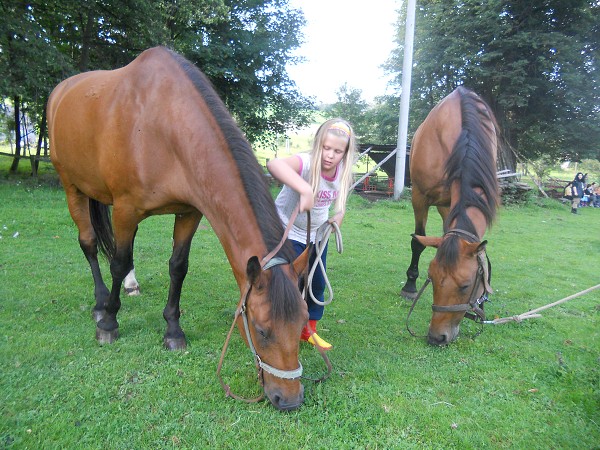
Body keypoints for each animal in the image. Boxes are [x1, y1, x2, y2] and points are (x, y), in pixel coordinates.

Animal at [47, 46, 310, 412]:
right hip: (72, 187)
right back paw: (101, 305)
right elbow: (117, 262)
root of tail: (62, 90)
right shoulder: (126, 209)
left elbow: (177, 267)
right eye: (261, 329)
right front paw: (110, 324)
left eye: (302, 324)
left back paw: (131, 287)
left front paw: (173, 331)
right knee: (90, 245)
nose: (289, 399)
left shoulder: (189, 213)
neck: (163, 124)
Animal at [400, 89, 500, 348]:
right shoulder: (419, 196)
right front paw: (410, 285)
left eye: (465, 286)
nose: (437, 337)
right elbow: (417, 241)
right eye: (431, 279)